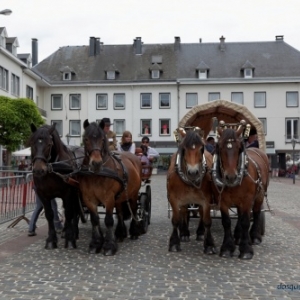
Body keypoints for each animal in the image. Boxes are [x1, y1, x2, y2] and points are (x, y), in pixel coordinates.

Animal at [78, 119, 142, 255]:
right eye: (86, 139)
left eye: (103, 139)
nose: (96, 163)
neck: (96, 175)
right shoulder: (89, 199)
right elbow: (95, 219)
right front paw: (95, 243)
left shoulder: (108, 198)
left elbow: (108, 220)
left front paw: (109, 246)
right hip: (119, 197)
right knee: (120, 213)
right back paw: (120, 233)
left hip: (133, 195)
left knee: (133, 210)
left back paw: (134, 232)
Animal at [212, 120, 270, 258]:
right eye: (220, 148)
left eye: (239, 148)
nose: (231, 177)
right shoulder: (222, 201)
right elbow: (226, 222)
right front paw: (227, 248)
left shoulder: (247, 200)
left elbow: (245, 221)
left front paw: (246, 249)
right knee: (240, 215)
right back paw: (238, 237)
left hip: (259, 195)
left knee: (256, 213)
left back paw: (254, 237)